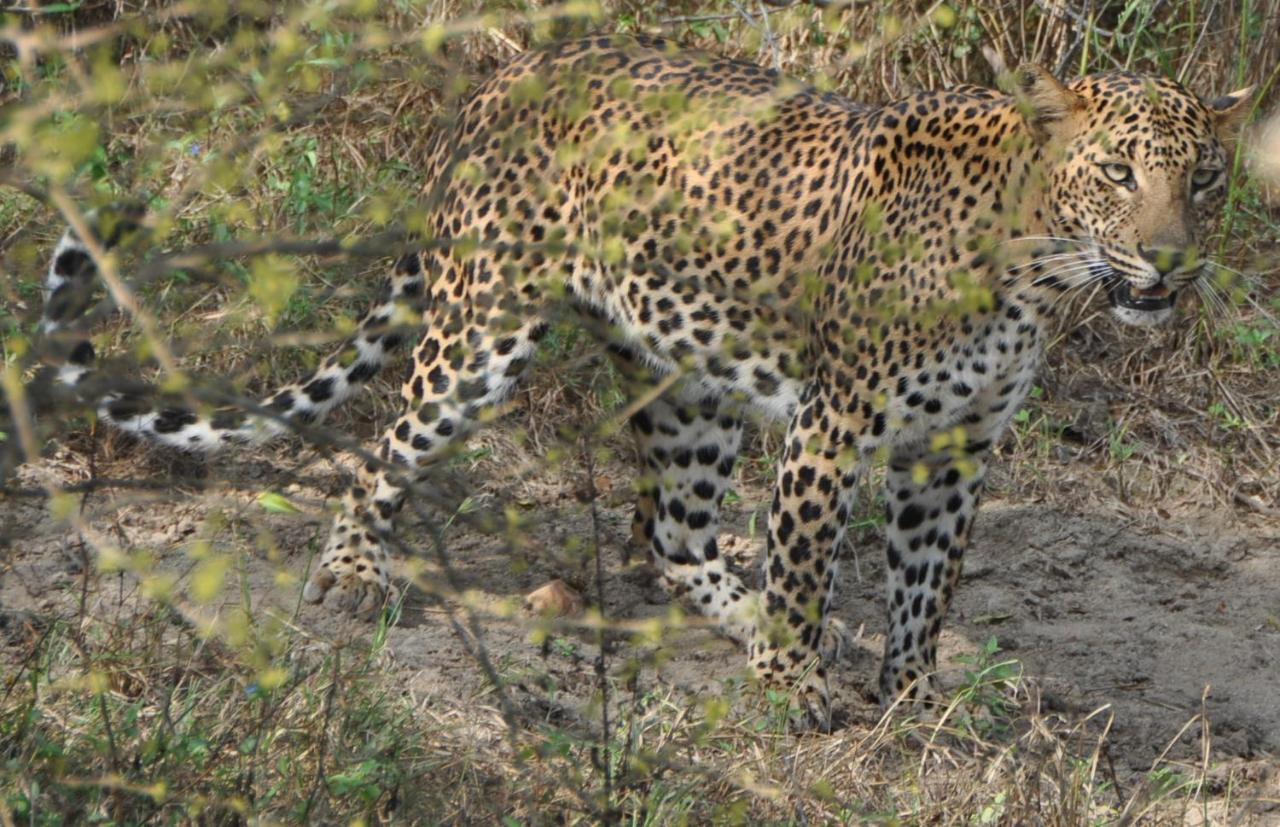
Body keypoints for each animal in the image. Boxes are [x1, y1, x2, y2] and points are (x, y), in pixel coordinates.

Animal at [37, 35, 1249, 727]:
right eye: (1118, 171)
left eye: (1203, 176)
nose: (1171, 261)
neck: (1036, 268)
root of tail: (504, 76)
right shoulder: (833, 429)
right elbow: (810, 566)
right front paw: (791, 688)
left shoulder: (953, 452)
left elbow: (926, 593)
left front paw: (911, 705)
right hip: (482, 332)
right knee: (382, 451)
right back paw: (350, 569)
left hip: (686, 379)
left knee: (671, 531)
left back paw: (740, 610)